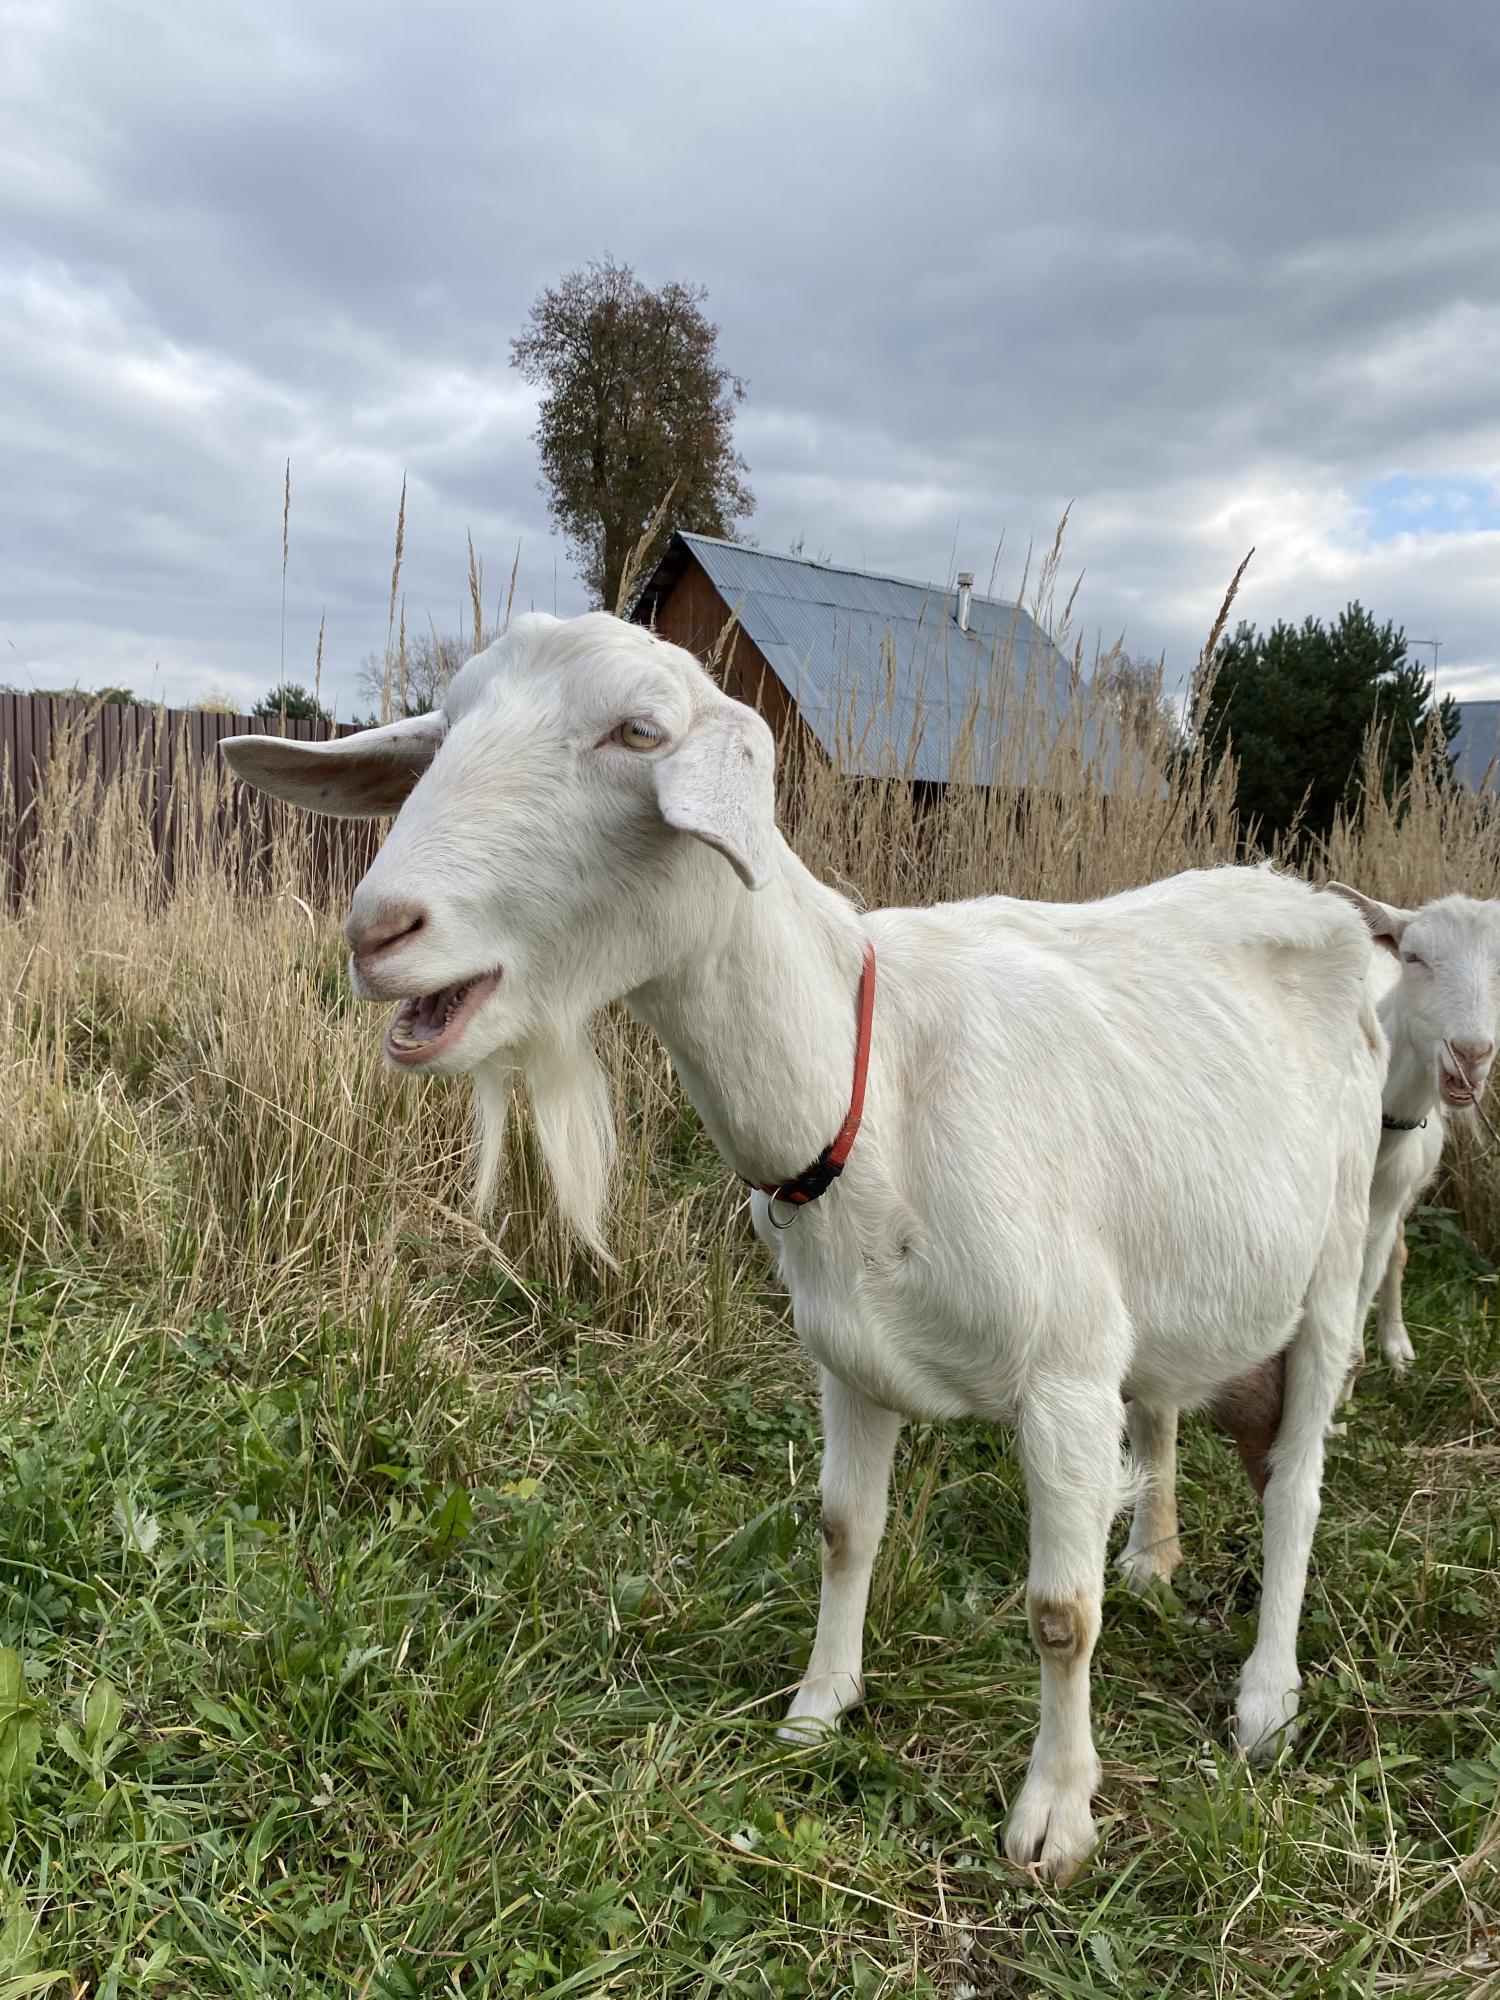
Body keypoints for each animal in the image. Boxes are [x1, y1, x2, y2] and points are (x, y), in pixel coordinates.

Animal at [220, 616, 1384, 1880]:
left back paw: (1267, 1693)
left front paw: (1054, 1815)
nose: (378, 932)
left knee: (1300, 1480)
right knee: (1167, 1406)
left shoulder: (1067, 1374)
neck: (872, 1081)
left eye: (639, 731)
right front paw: (820, 1706)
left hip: (1339, 1256)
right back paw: (1153, 1556)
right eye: (444, 726)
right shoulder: (849, 1357)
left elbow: (1059, 1614)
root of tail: (1318, 902)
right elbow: (841, 1529)